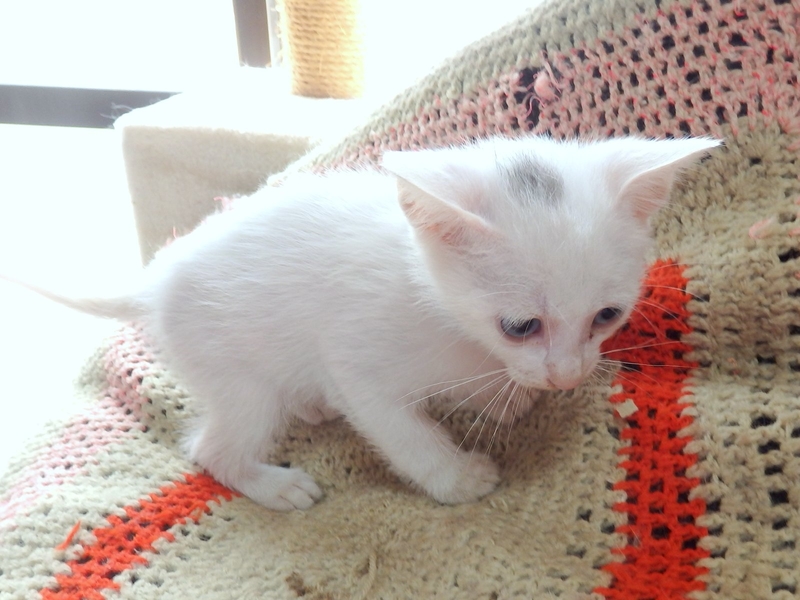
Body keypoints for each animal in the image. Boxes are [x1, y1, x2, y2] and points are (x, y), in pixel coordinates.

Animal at [3, 135, 719, 511]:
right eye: (521, 325)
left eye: (607, 316)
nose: (568, 377)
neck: (437, 305)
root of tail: (154, 281)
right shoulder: (357, 359)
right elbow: (399, 428)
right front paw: (456, 477)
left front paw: (502, 395)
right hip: (237, 375)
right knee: (212, 448)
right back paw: (274, 484)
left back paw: (312, 407)